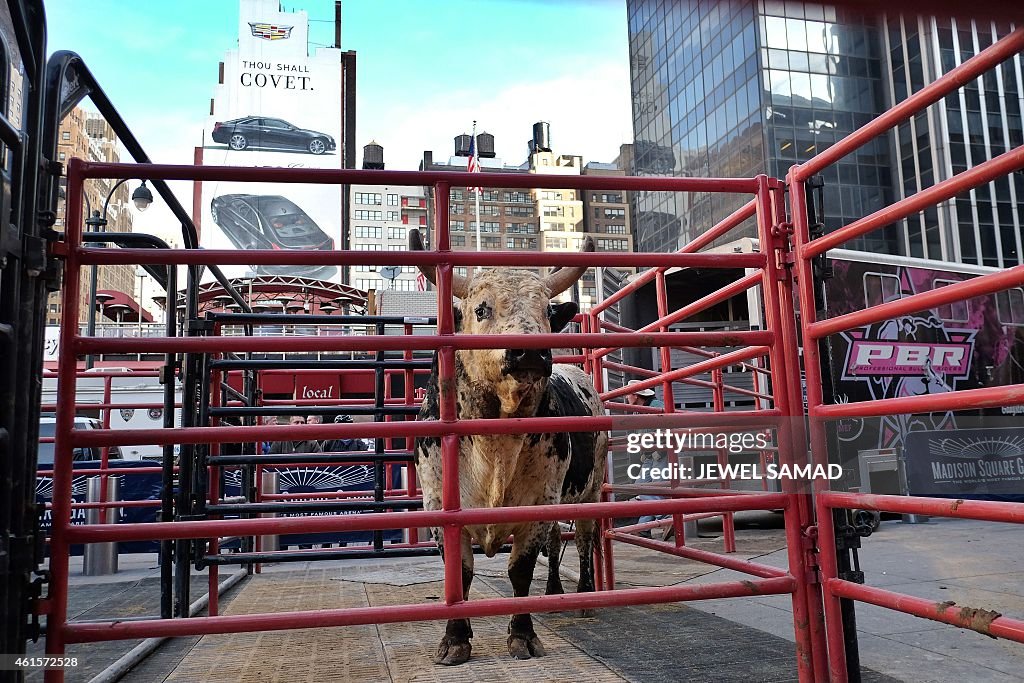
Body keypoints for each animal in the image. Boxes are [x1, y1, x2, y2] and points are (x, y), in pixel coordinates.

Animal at [411, 228, 606, 663]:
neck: (495, 445)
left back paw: (586, 597)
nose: (529, 351)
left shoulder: (538, 503)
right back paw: (554, 594)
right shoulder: (440, 507)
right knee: (557, 542)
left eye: (547, 312)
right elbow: (459, 574)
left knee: (584, 540)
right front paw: (456, 639)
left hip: (591, 489)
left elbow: (520, 569)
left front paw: (523, 635)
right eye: (481, 309)